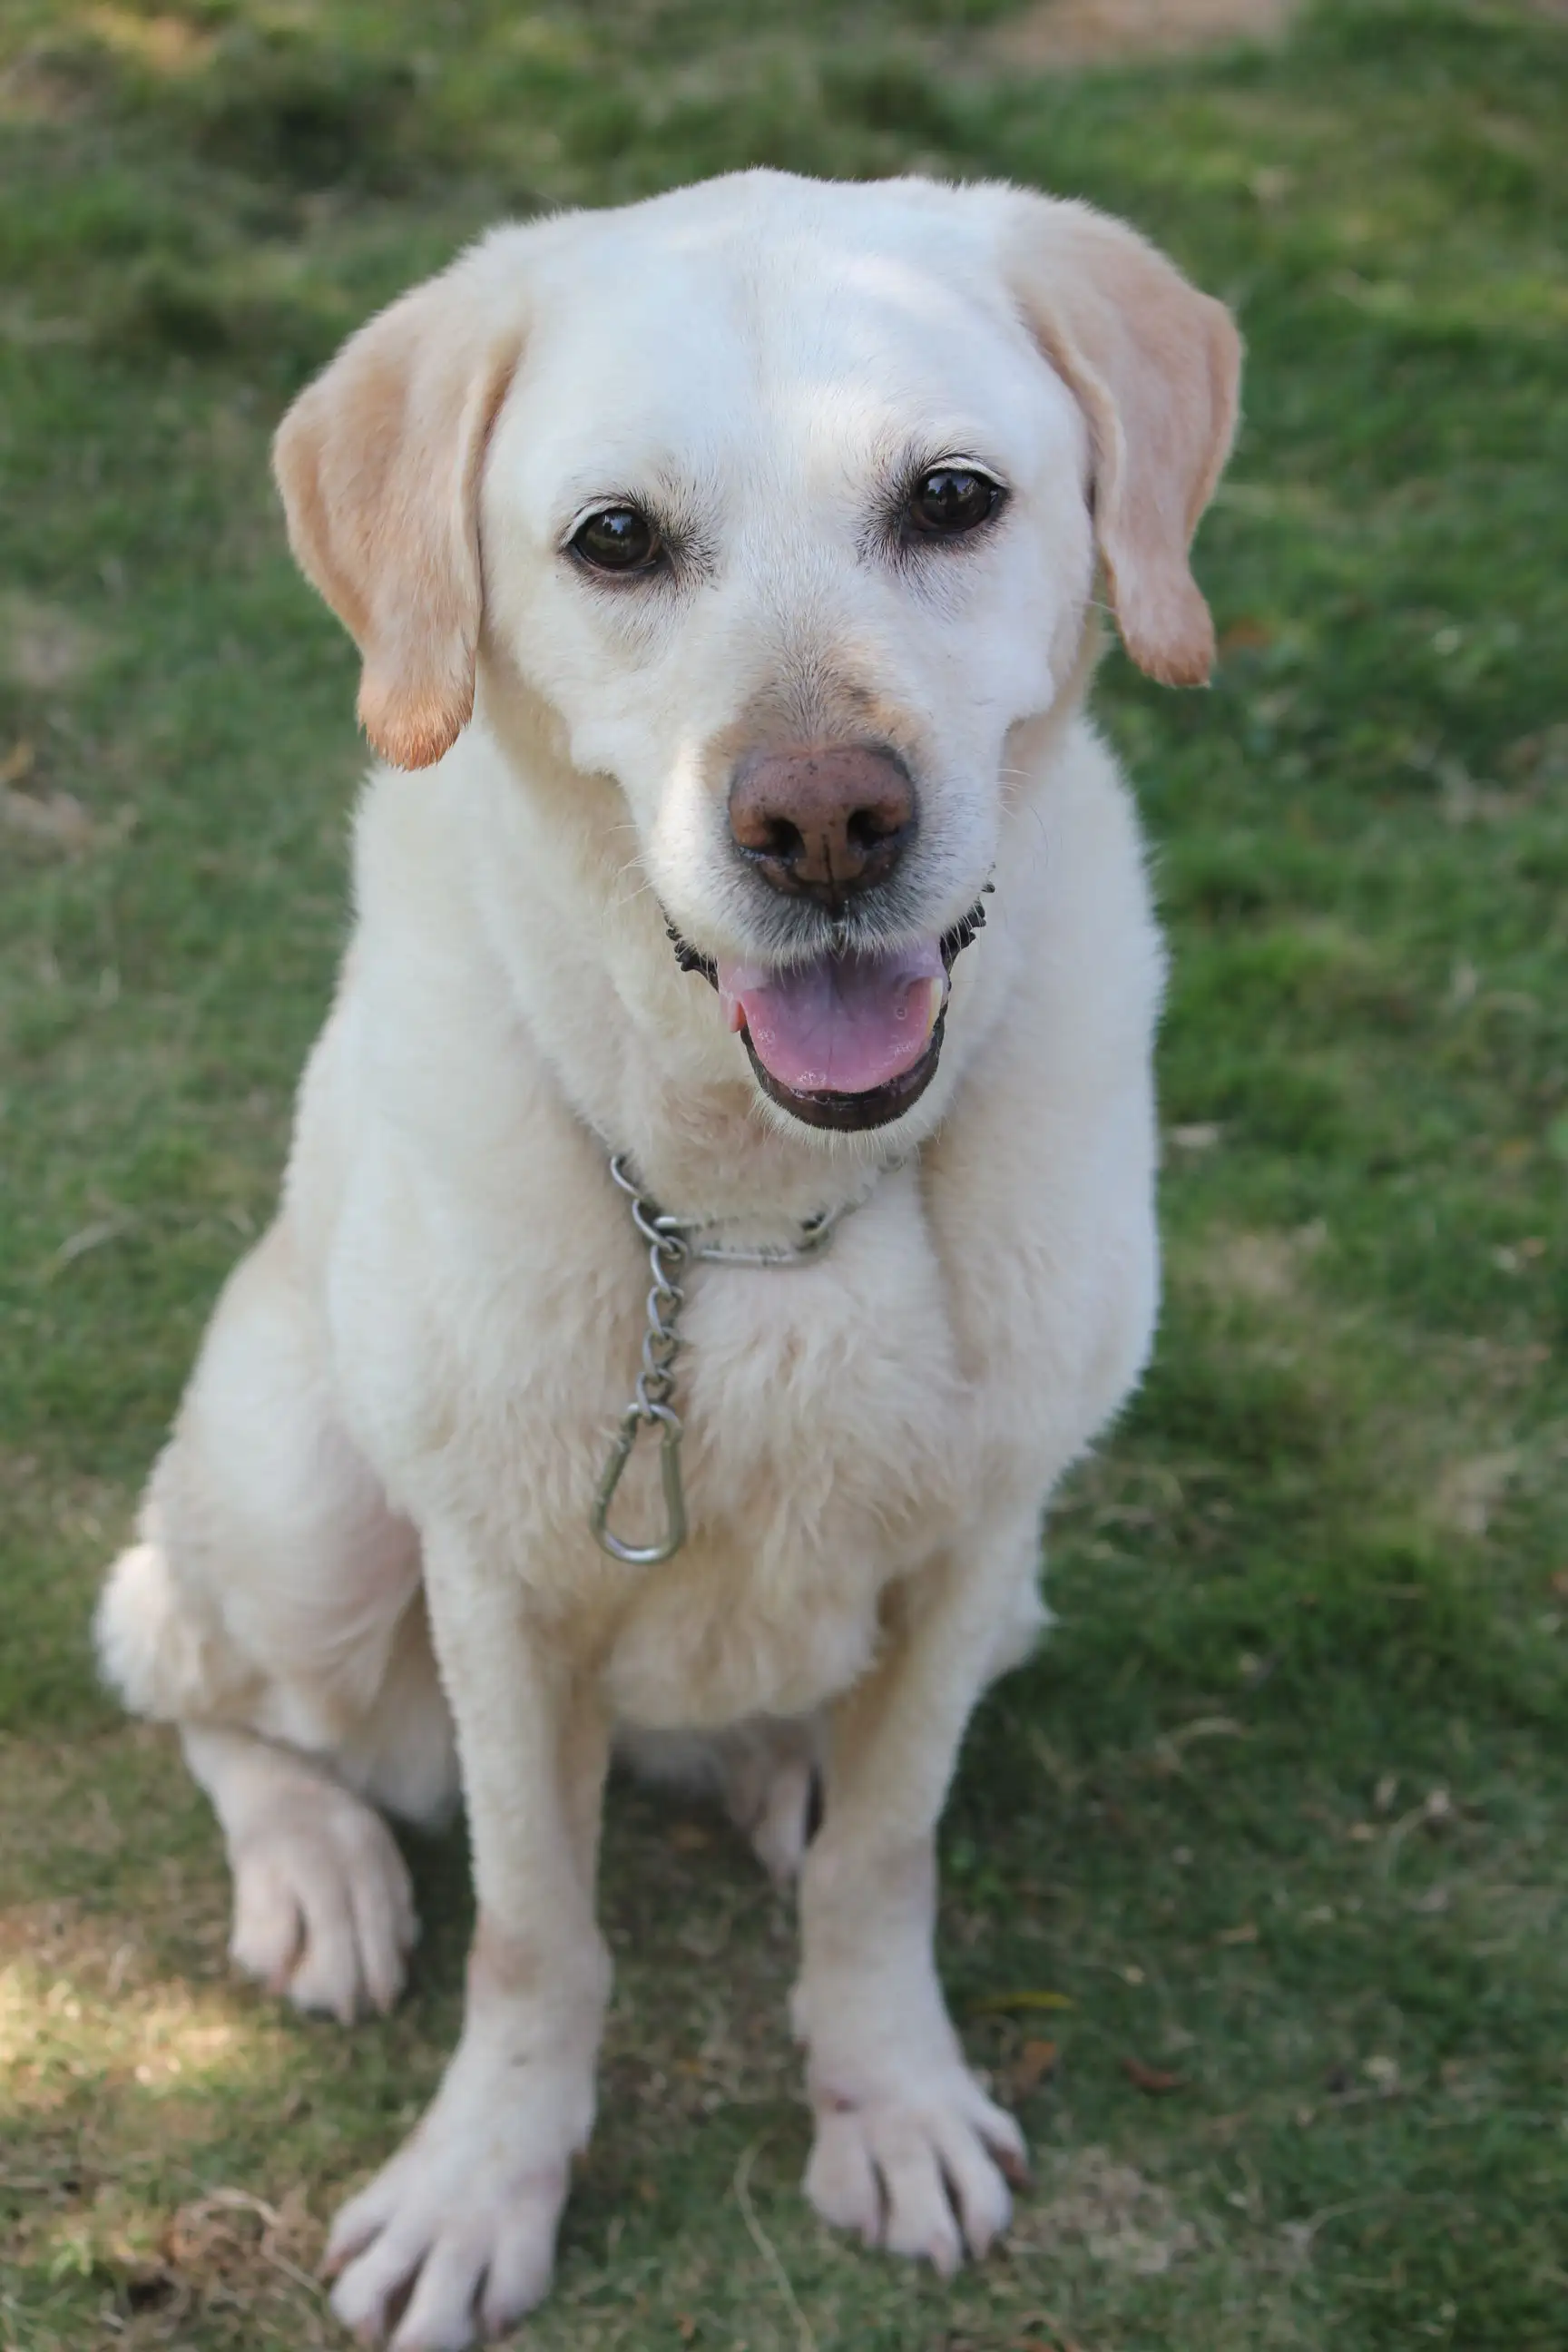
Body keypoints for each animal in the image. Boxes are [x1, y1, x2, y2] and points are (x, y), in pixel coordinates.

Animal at [94, 170, 1240, 2352]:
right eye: (614, 539)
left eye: (952, 500)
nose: (826, 820)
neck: (761, 1200)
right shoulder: (495, 1578)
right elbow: (537, 1932)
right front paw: (484, 2182)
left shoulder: (981, 1541)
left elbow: (889, 1859)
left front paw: (889, 2102)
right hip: (301, 1507)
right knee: (179, 1656)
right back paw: (315, 1869)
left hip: (1014, 1590)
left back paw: (779, 1762)